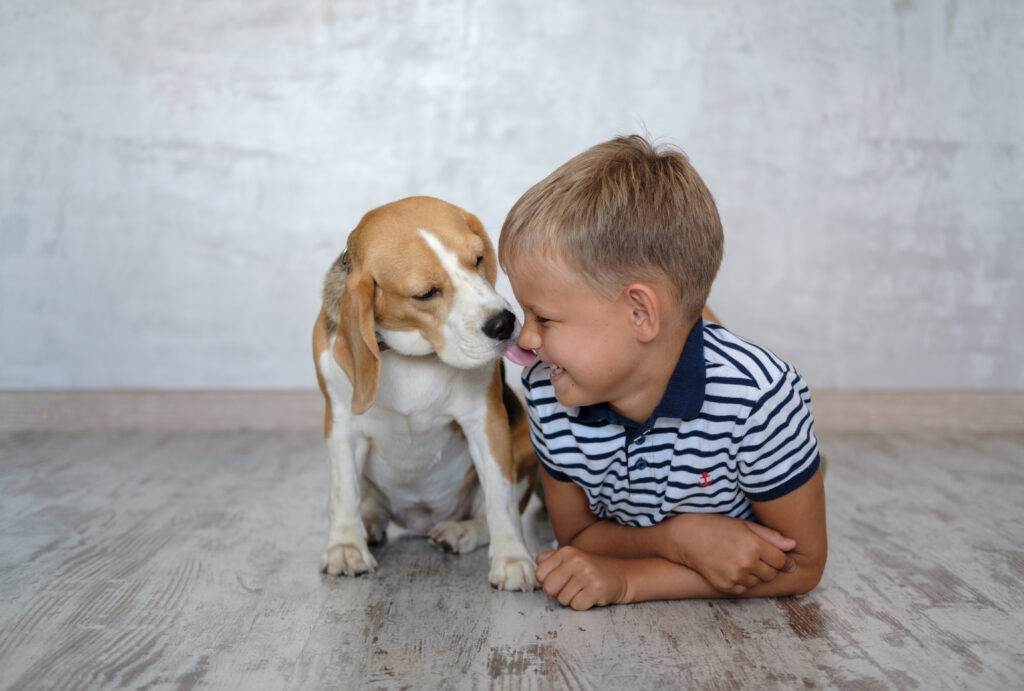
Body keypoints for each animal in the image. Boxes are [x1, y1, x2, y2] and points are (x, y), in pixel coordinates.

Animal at [311, 197, 536, 593]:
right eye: (426, 294)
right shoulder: (341, 424)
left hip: (523, 451)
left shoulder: (485, 421)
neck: (410, 357)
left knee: (488, 511)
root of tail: (422, 518)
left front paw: (512, 559)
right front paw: (345, 546)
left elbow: (500, 500)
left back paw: (461, 531)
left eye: (478, 258)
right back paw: (369, 523)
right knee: (370, 502)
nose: (504, 323)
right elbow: (343, 492)